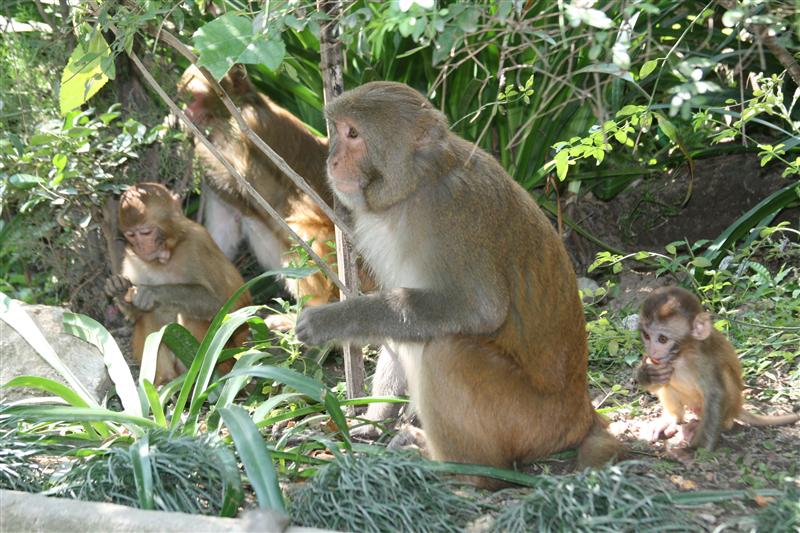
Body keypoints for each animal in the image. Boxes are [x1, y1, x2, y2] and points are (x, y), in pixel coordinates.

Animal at [105, 183, 252, 385]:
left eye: (146, 232)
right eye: (131, 235)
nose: (141, 247)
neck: (166, 254)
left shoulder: (198, 244)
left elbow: (219, 303)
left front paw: (153, 293)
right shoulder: (132, 256)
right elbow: (137, 313)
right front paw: (118, 289)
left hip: (226, 356)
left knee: (189, 314)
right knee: (150, 314)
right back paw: (164, 381)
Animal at [295, 81, 619, 487]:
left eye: (353, 134)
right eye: (338, 130)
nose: (332, 161)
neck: (418, 184)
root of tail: (582, 413)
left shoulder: (457, 214)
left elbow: (479, 310)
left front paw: (332, 320)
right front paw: (373, 419)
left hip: (530, 422)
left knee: (445, 349)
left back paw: (462, 472)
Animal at [636, 286, 799, 451]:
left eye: (662, 339)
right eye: (646, 336)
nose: (652, 352)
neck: (682, 355)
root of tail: (737, 407)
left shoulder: (705, 360)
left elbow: (716, 393)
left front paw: (700, 447)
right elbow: (657, 383)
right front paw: (649, 375)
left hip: (729, 405)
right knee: (668, 384)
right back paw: (672, 418)